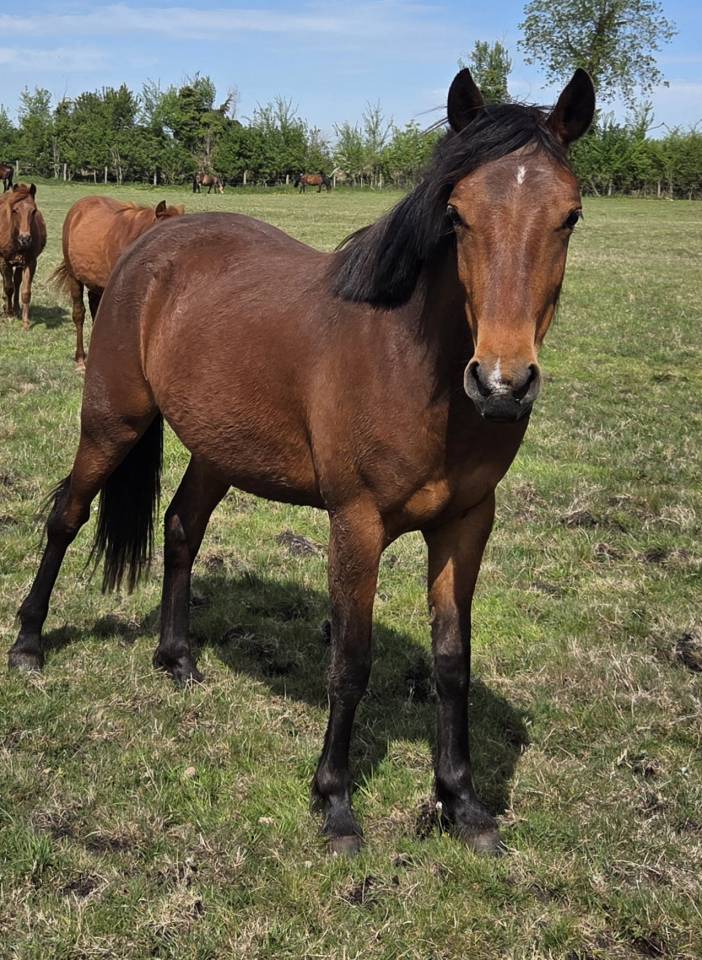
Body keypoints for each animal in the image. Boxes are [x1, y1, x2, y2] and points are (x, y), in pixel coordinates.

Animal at [0, 184, 46, 330]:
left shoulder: (30, 262)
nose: (25, 239)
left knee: (16, 282)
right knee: (7, 283)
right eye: (15, 210)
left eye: (33, 210)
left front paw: (25, 322)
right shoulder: (4, 261)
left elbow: (25, 291)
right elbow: (8, 288)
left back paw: (15, 308)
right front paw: (9, 315)